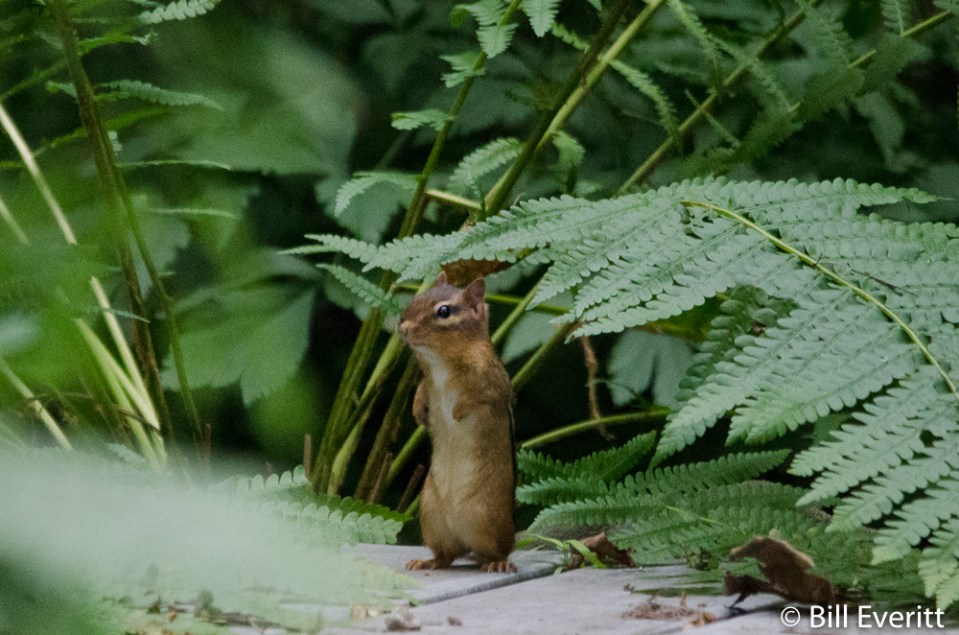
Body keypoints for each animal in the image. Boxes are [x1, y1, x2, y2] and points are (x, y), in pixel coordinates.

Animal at [397, 272, 517, 573]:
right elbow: (421, 389)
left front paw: (458, 412)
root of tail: (465, 542)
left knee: (500, 550)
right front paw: (418, 410)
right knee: (446, 556)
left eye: (444, 311)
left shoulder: (494, 384)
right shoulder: (428, 381)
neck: (439, 362)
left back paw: (498, 562)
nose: (402, 327)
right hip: (431, 516)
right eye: (417, 297)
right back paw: (427, 561)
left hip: (487, 519)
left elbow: (479, 397)